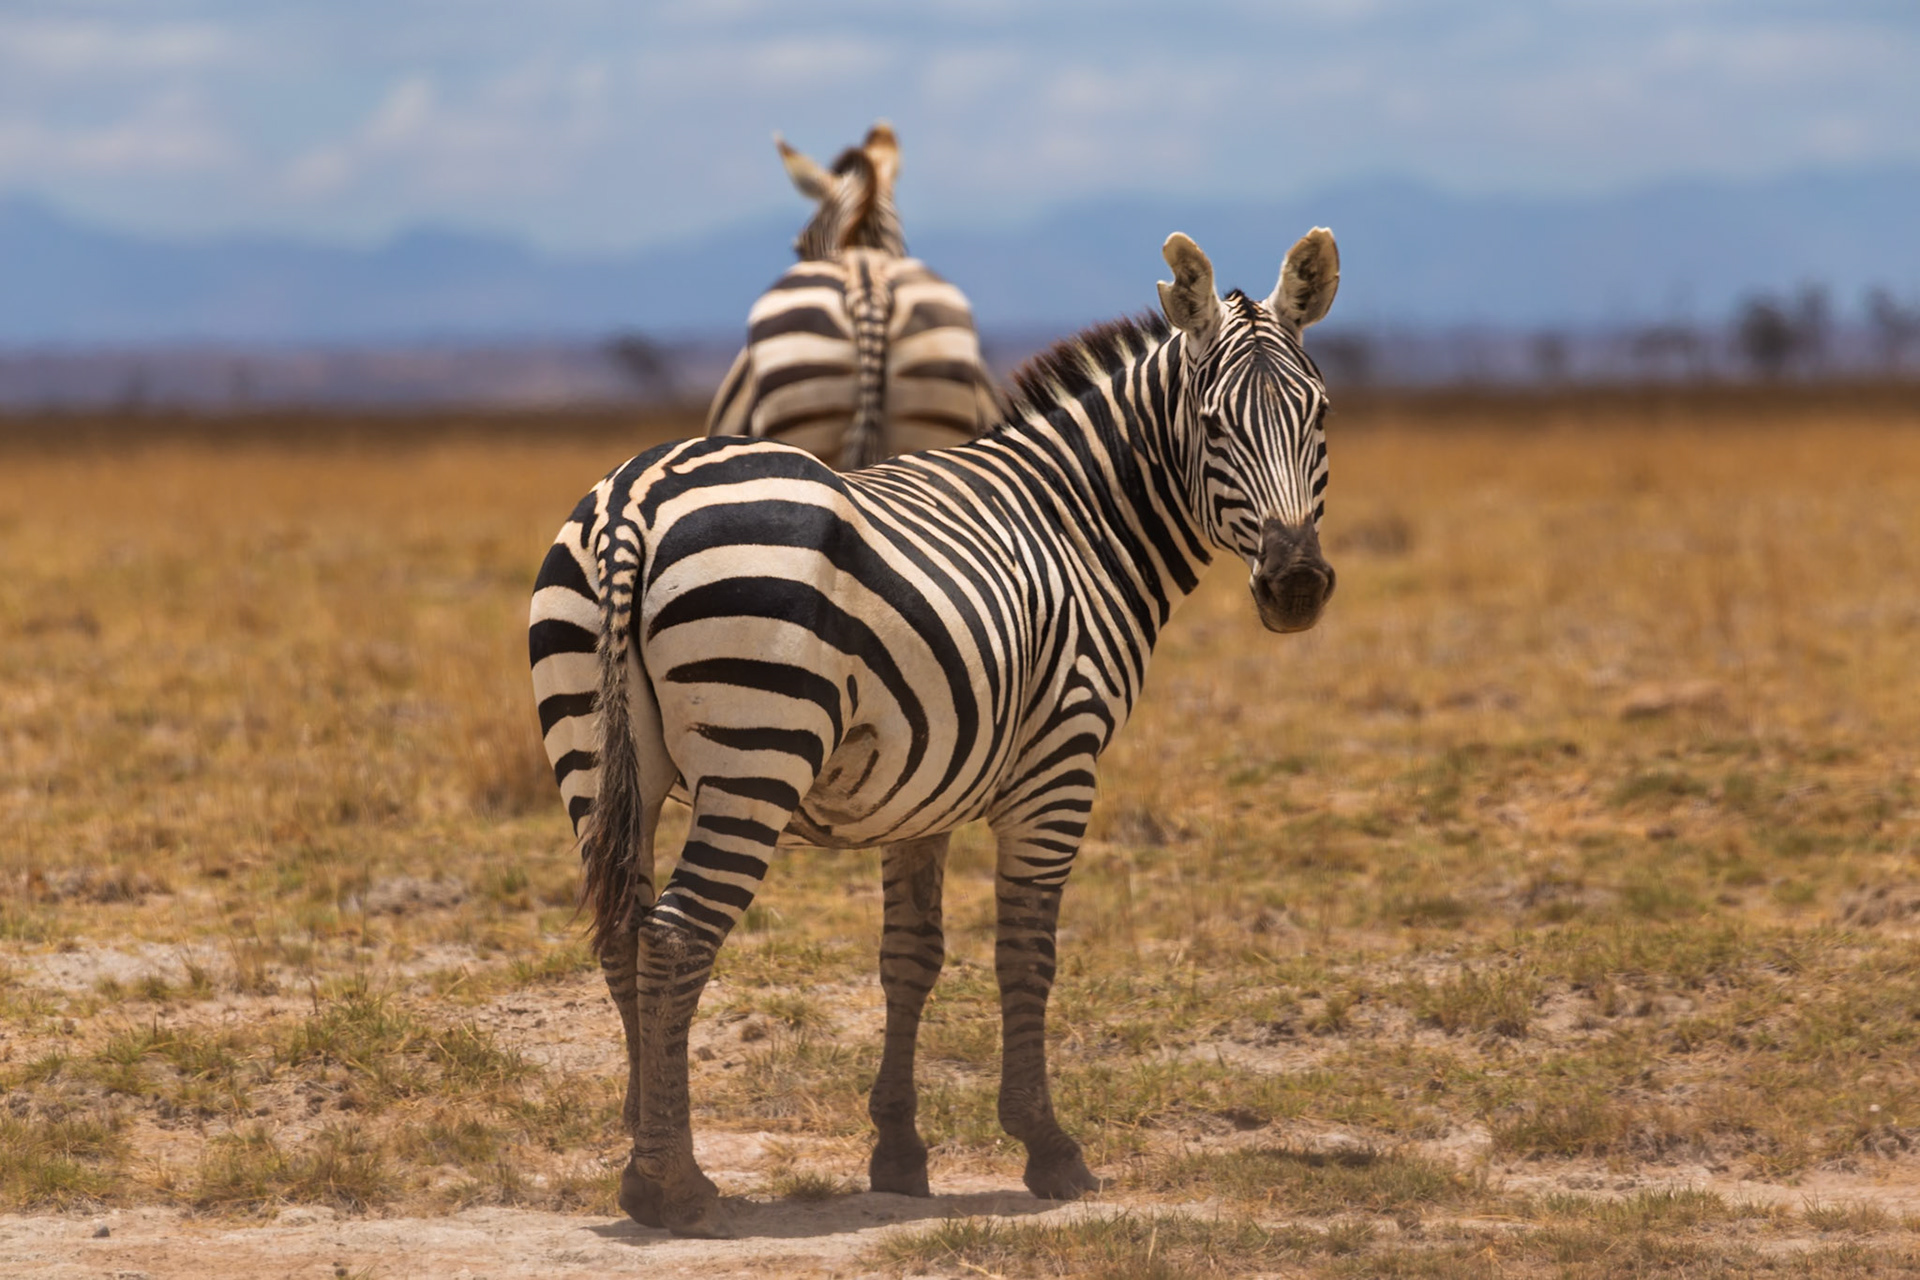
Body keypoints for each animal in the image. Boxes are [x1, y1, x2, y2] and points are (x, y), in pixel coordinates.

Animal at [527, 226, 1340, 1235]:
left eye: (1319, 416)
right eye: (1215, 423)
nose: (1296, 585)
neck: (1079, 525)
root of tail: (634, 501)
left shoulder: (926, 786)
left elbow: (908, 958)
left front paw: (899, 1152)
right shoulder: (1058, 768)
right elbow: (1026, 953)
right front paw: (1049, 1148)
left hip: (593, 755)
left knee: (622, 931)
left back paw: (642, 1141)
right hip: (757, 756)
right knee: (676, 934)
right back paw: (670, 1185)